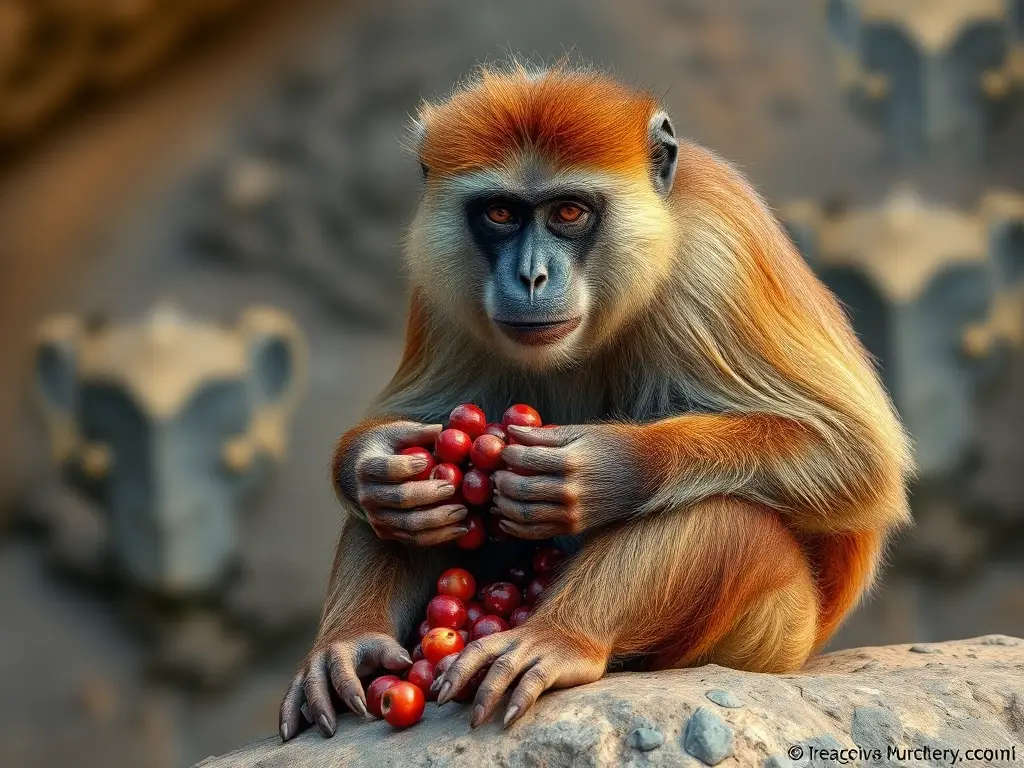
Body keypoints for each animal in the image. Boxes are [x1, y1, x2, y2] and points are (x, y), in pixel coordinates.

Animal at [279, 61, 914, 740]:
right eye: (500, 213)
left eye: (569, 211)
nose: (531, 277)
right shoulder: (441, 282)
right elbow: (409, 432)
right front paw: (370, 465)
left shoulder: (717, 250)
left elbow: (856, 454)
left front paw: (612, 468)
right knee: (396, 515)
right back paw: (354, 643)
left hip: (777, 632)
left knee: (732, 516)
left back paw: (561, 639)